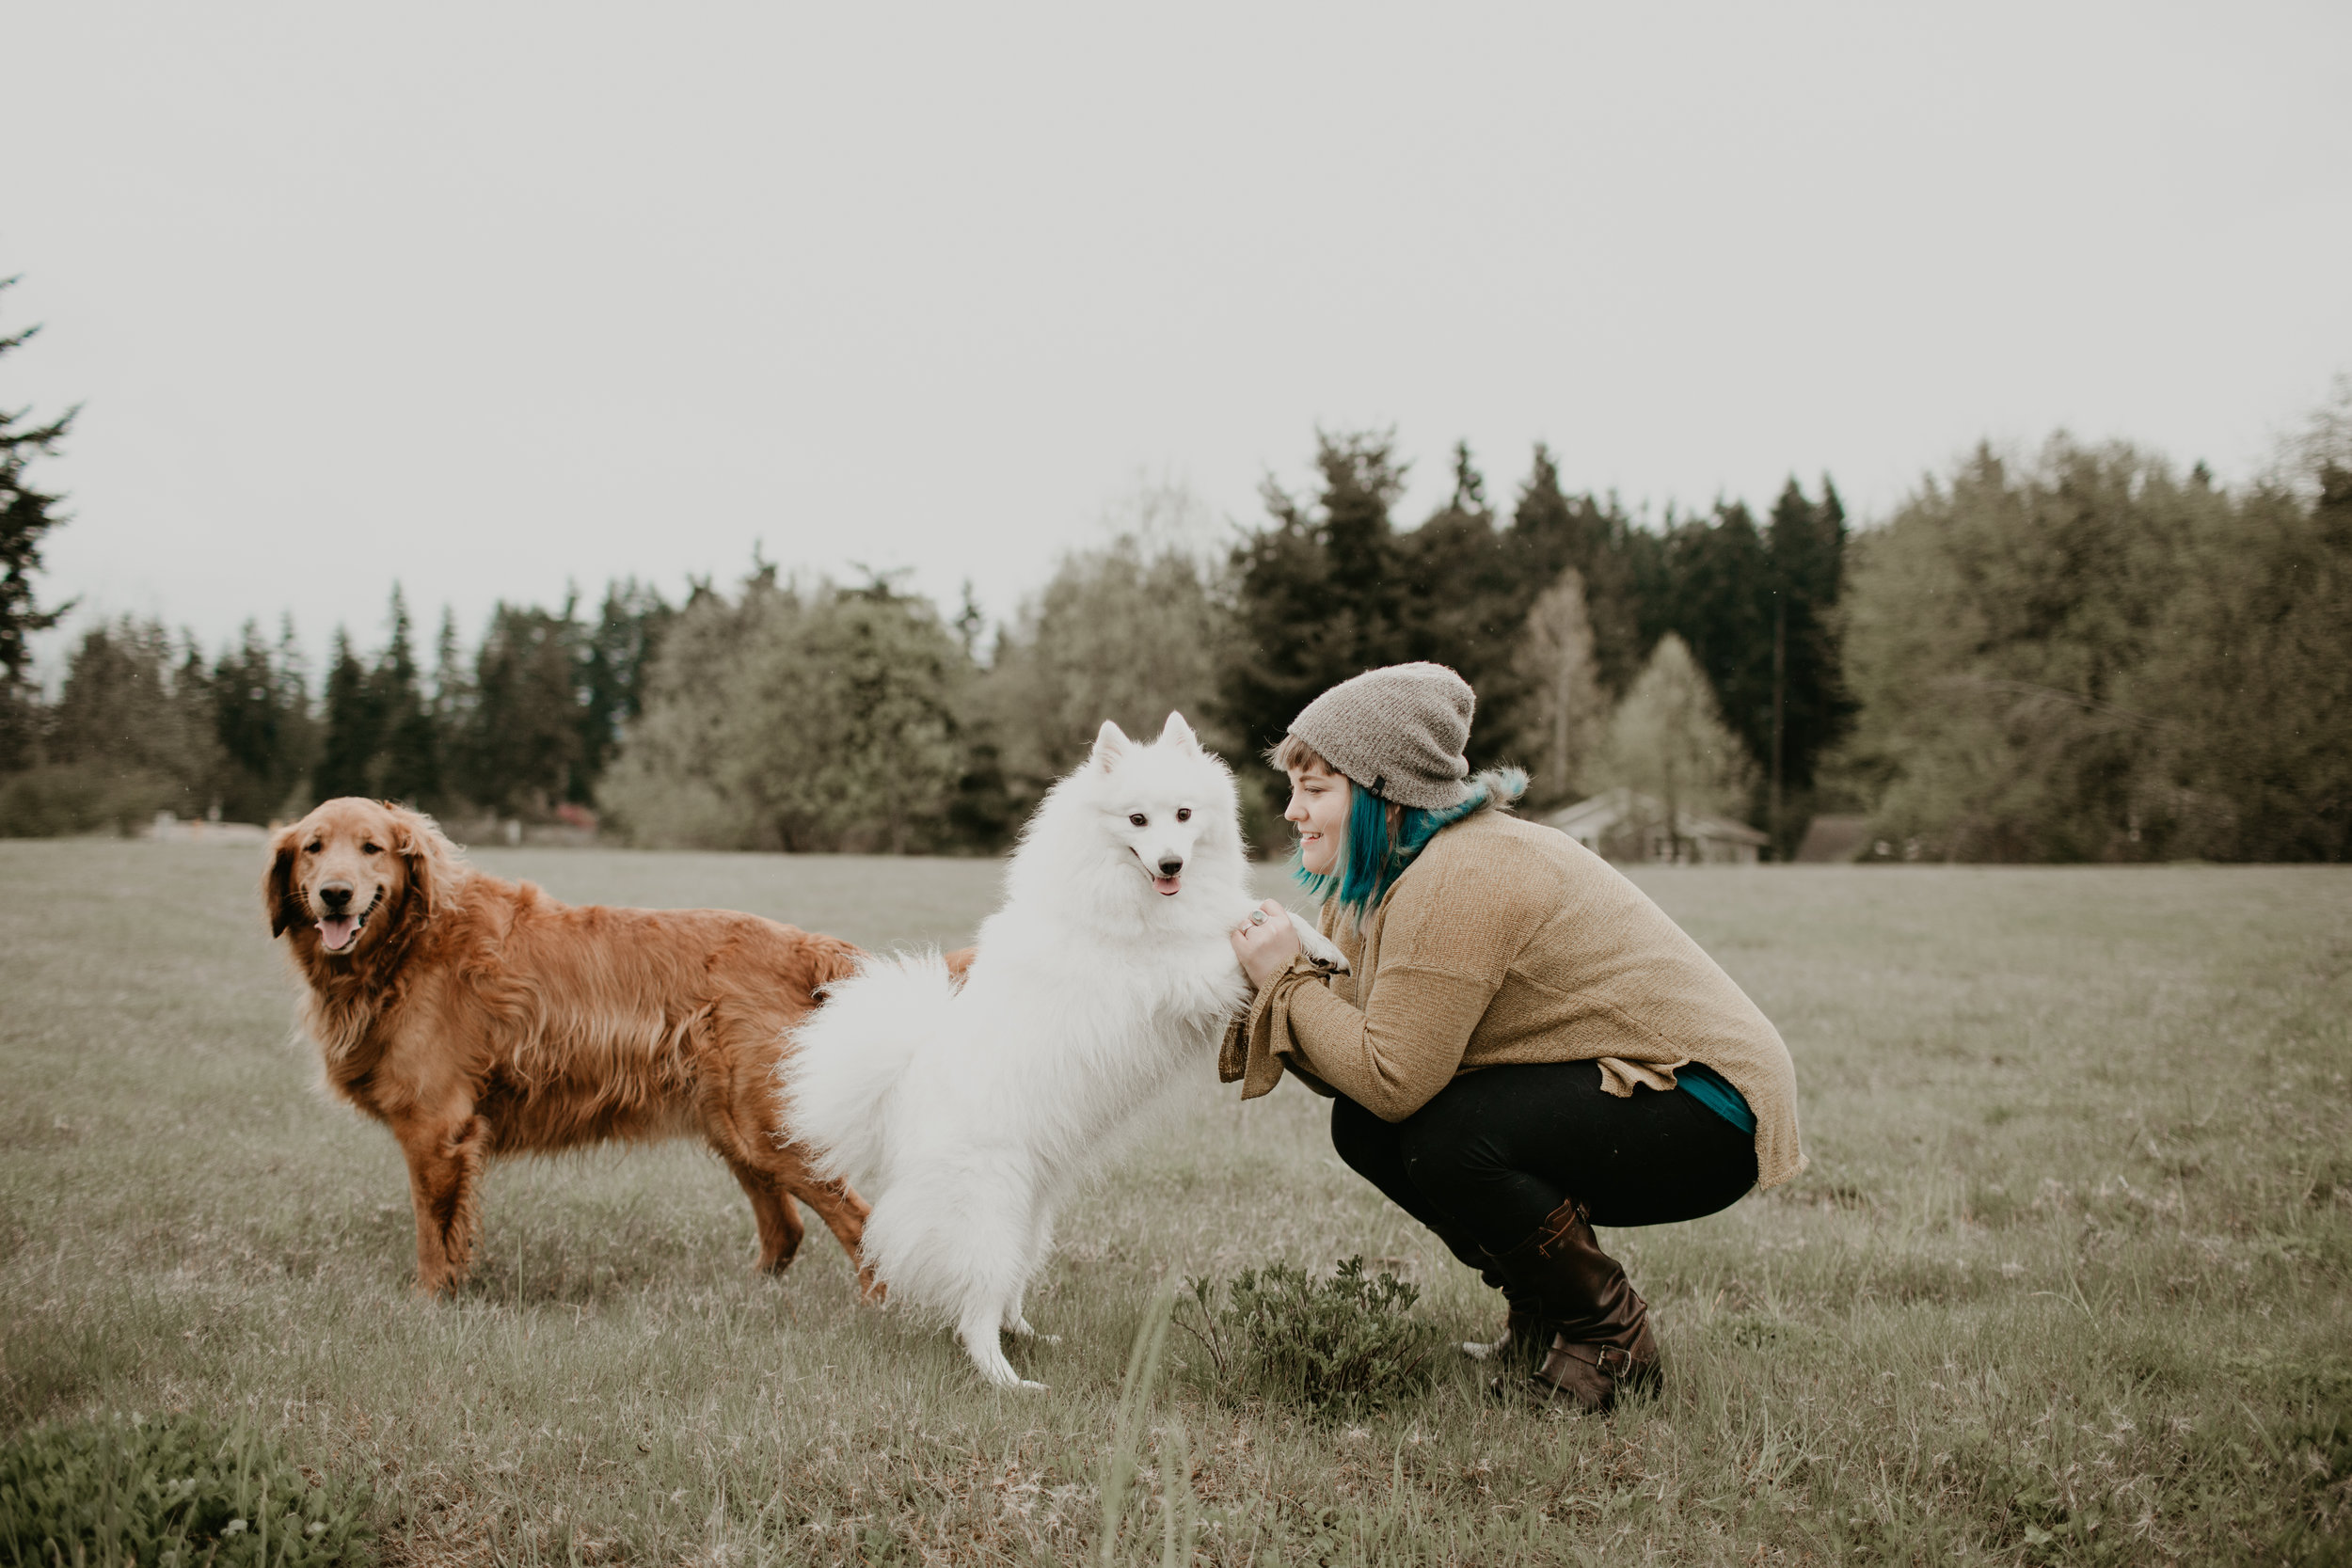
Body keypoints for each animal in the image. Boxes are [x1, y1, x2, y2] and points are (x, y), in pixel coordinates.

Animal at [786, 709, 1345, 1382]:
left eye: (1184, 815)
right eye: (1136, 821)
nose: (1170, 865)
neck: (1125, 892)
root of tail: (902, 1090)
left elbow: (1258, 911)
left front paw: (1322, 946)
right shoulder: (1175, 972)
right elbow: (1229, 944)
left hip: (1031, 1220)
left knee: (1002, 1294)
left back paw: (1030, 1336)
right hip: (989, 1214)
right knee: (973, 1312)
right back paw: (1008, 1379)